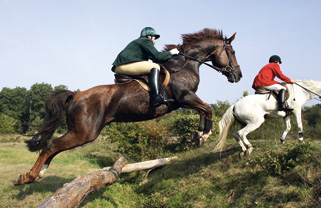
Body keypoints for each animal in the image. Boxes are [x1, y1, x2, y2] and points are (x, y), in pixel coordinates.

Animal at [14, 28, 240, 185]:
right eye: (232, 51)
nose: (238, 75)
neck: (184, 65)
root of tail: (76, 95)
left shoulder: (186, 100)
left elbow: (204, 110)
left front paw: (198, 135)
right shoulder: (185, 97)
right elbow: (208, 108)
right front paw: (203, 135)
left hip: (78, 131)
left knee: (51, 146)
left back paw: (38, 174)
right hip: (85, 133)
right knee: (51, 146)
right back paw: (27, 177)